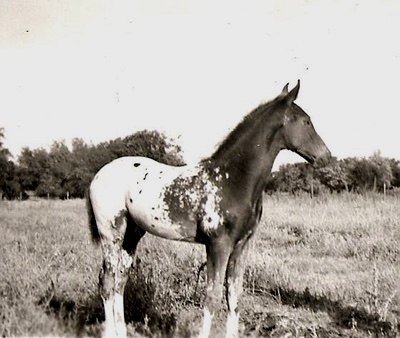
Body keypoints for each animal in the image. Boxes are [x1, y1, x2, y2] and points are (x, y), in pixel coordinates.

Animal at [86, 82, 332, 338]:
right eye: (306, 121)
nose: (326, 157)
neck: (232, 179)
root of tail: (98, 176)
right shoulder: (218, 244)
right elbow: (212, 297)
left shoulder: (242, 245)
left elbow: (234, 296)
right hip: (111, 232)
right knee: (107, 282)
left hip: (132, 233)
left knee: (119, 282)